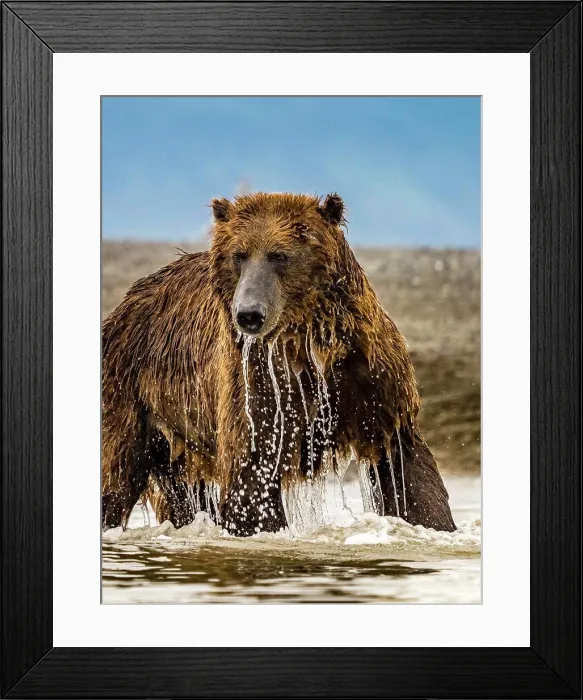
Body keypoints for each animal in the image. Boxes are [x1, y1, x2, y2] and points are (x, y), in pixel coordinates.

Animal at [102, 192, 456, 536]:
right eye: (239, 255)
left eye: (280, 255)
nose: (249, 314)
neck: (310, 341)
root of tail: (125, 303)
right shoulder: (257, 380)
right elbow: (252, 470)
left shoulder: (370, 377)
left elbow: (407, 468)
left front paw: (433, 524)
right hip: (131, 390)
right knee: (115, 474)